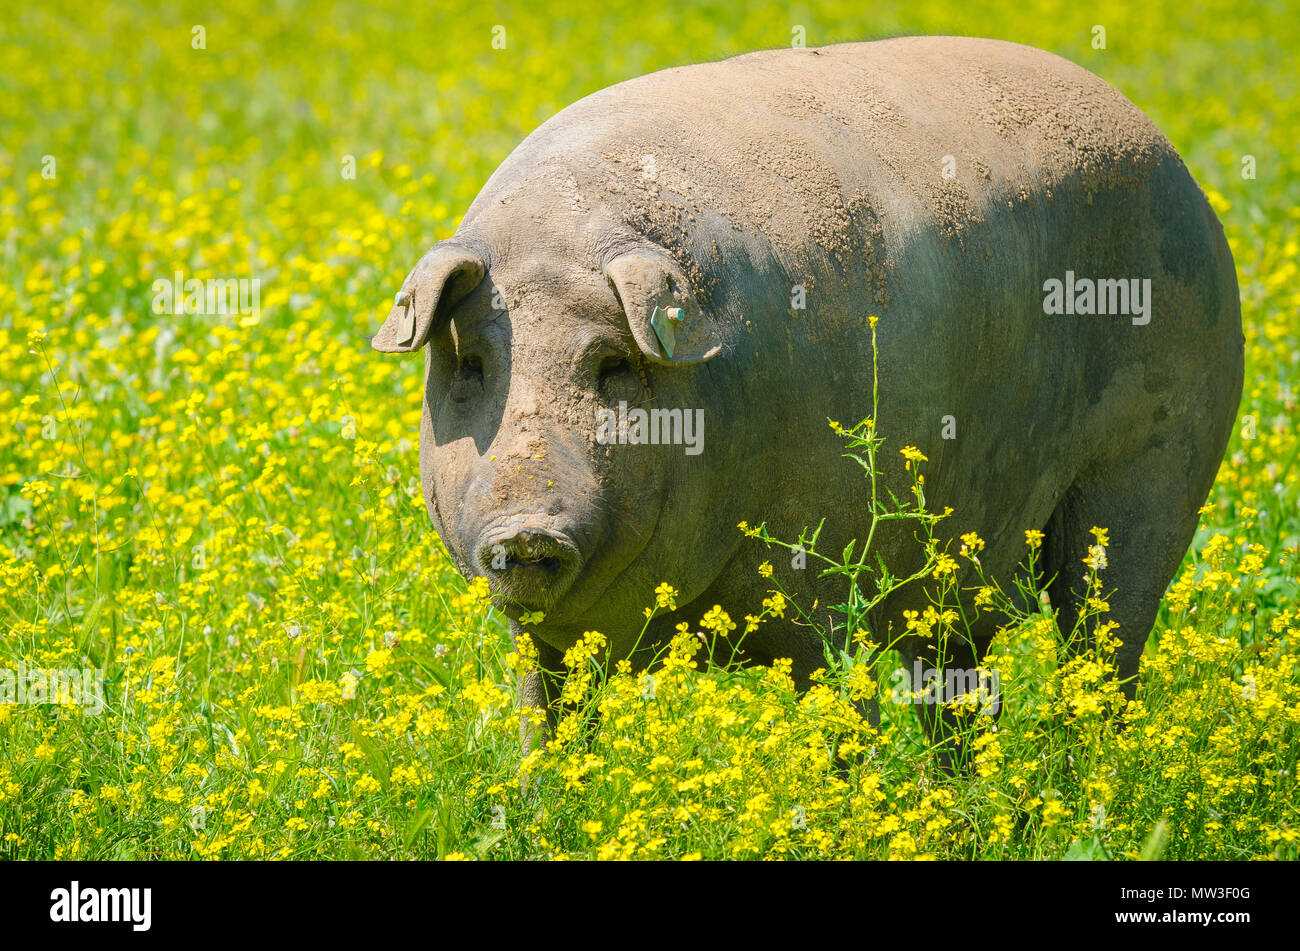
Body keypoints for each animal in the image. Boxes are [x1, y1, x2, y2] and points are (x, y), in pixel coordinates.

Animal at [374, 38, 1237, 763]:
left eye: (612, 365)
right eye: (473, 365)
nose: (525, 531)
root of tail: (1163, 147)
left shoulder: (825, 579)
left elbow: (844, 712)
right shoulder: (544, 637)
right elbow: (546, 722)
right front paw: (543, 802)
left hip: (1156, 462)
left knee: (1106, 638)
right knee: (962, 685)